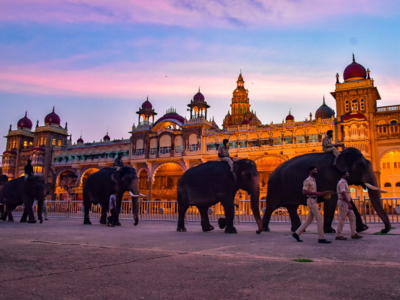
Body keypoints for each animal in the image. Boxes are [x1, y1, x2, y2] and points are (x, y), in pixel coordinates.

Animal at [262, 148, 390, 234]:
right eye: (361, 166)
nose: (383, 230)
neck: (340, 153)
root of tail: (271, 173)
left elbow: (349, 200)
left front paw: (363, 228)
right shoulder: (328, 177)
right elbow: (331, 200)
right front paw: (330, 231)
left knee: (292, 207)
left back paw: (298, 230)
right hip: (275, 188)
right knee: (270, 207)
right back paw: (265, 229)